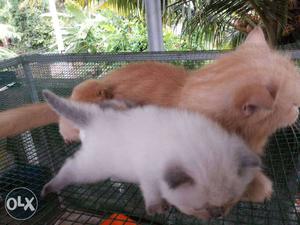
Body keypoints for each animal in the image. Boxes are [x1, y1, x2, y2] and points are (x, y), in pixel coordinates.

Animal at [41, 90, 262, 220]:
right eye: (199, 207)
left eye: (229, 202)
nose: (217, 215)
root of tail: (98, 119)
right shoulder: (148, 173)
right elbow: (152, 192)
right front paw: (157, 208)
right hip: (94, 167)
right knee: (70, 168)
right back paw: (49, 187)